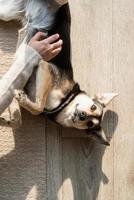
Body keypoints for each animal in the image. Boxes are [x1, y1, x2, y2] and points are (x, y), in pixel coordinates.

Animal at [0, 0, 117, 146]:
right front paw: (23, 99)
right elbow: (39, 107)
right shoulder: (44, 66)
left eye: (89, 124)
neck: (65, 102)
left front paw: (5, 120)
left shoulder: (18, 82)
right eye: (93, 107)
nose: (82, 115)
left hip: (7, 10)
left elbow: (18, 120)